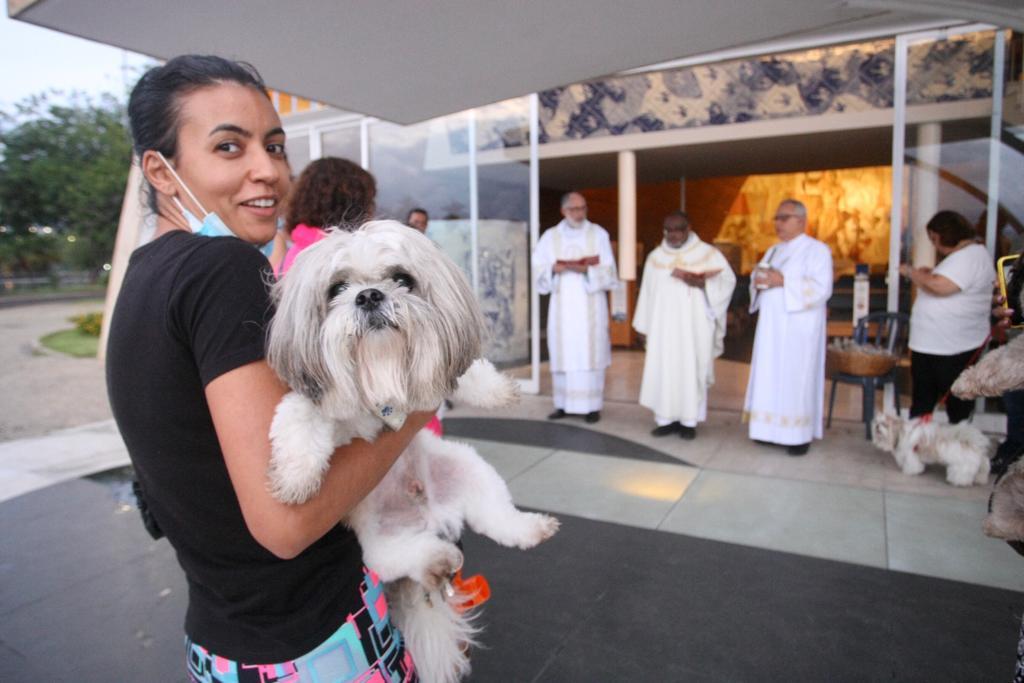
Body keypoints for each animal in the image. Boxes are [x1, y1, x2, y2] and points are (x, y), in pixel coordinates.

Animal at [264, 220, 561, 683]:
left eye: (401, 278)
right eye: (337, 288)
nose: (369, 295)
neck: (380, 369)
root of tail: (432, 517)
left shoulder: (434, 363)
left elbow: (464, 371)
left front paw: (497, 391)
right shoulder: (316, 398)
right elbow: (298, 418)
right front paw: (296, 478)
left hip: (470, 470)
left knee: (498, 518)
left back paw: (530, 529)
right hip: (377, 542)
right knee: (403, 556)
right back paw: (437, 558)